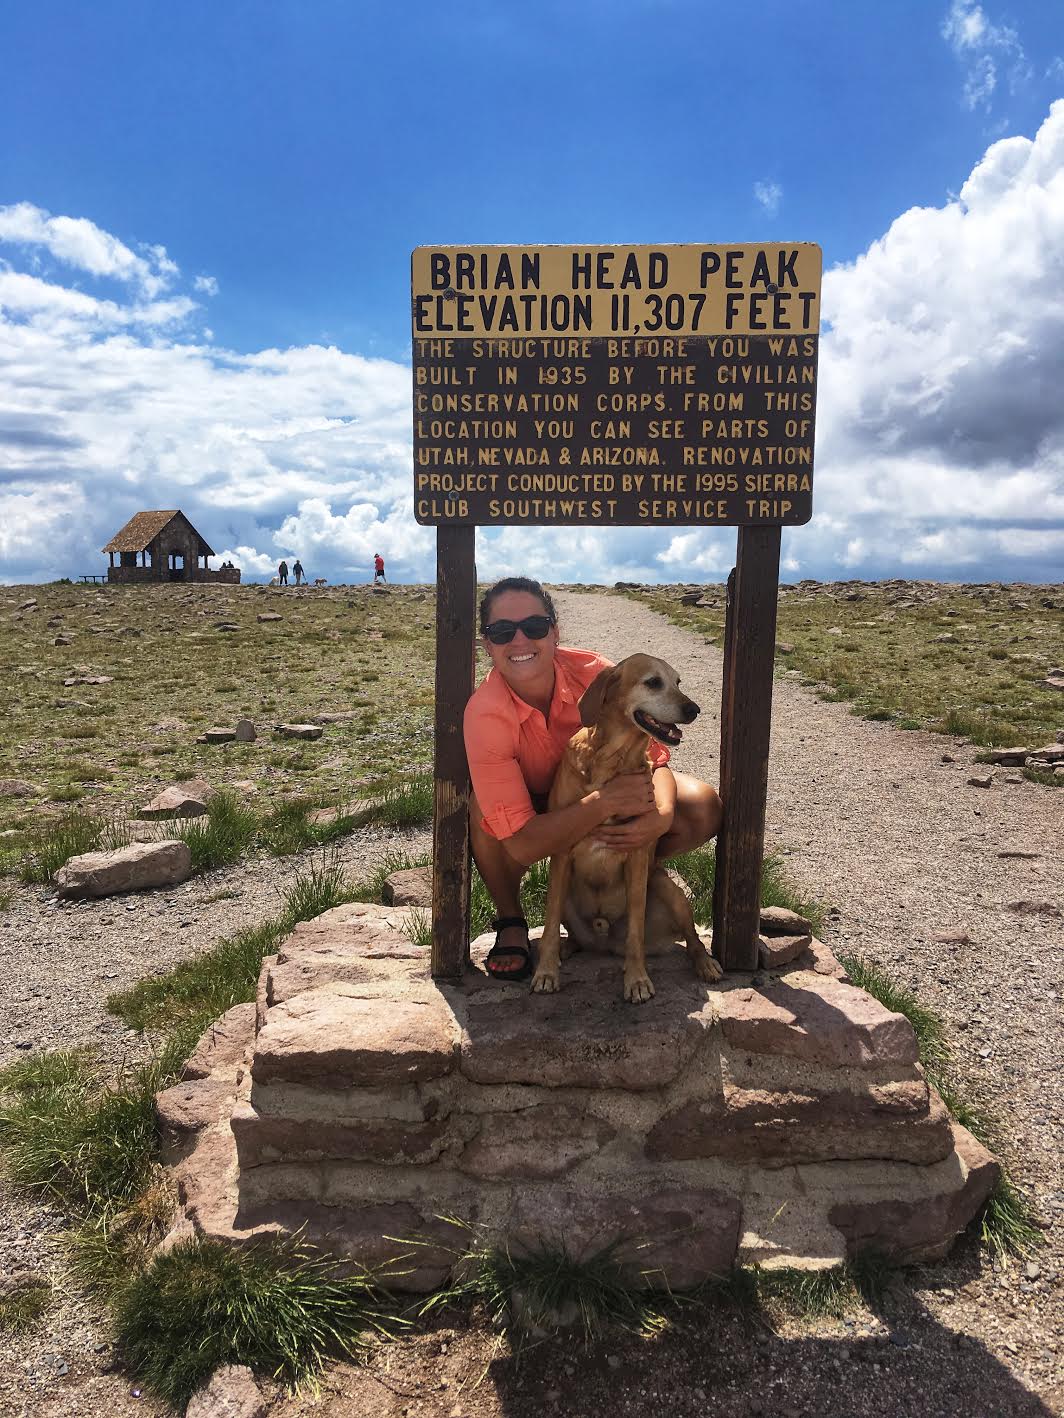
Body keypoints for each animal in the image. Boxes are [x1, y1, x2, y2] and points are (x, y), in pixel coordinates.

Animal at [533, 655, 726, 1009]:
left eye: (678, 682)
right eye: (653, 682)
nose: (694, 709)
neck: (611, 761)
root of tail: (604, 940)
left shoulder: (636, 858)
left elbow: (636, 930)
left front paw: (636, 979)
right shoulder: (561, 853)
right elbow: (550, 925)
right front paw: (546, 971)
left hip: (667, 888)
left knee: (691, 938)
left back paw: (705, 963)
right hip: (563, 892)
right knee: (568, 930)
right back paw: (567, 948)